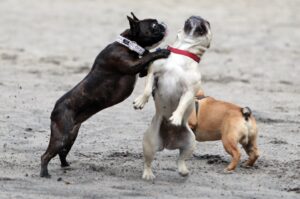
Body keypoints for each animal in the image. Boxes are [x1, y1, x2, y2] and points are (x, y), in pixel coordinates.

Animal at [40, 12, 170, 177]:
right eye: (153, 25)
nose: (163, 24)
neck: (128, 43)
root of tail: (55, 109)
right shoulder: (130, 65)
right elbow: (147, 57)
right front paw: (161, 51)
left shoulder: (140, 70)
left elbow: (145, 62)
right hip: (61, 136)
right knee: (46, 155)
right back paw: (45, 173)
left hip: (70, 136)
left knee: (62, 152)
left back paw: (66, 165)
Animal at [134, 16, 213, 180]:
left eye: (208, 24)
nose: (198, 17)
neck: (182, 52)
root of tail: (169, 143)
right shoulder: (153, 74)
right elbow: (147, 90)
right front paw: (141, 101)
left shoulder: (189, 91)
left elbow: (182, 105)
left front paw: (176, 116)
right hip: (149, 142)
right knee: (148, 161)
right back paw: (148, 174)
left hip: (190, 142)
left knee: (181, 159)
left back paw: (183, 170)